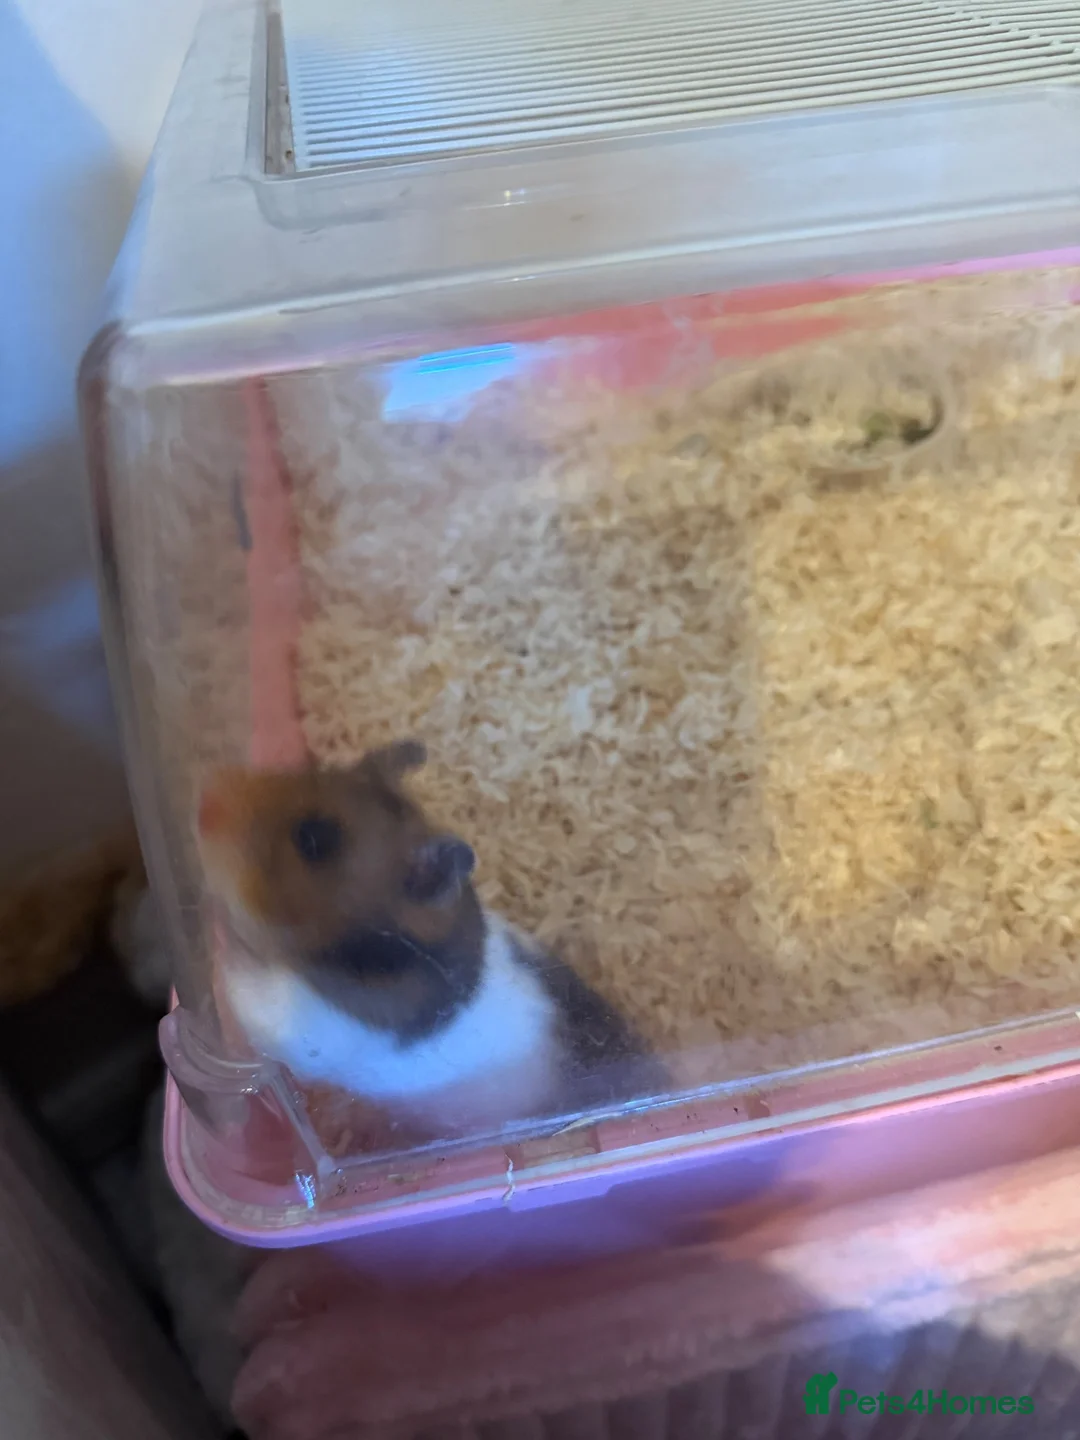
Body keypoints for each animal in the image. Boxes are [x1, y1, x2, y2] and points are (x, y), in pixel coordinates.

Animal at [194, 740, 664, 1138]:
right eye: (308, 771)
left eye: (312, 839)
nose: (203, 803)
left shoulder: (307, 1025)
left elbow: (250, 998)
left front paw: (224, 956)